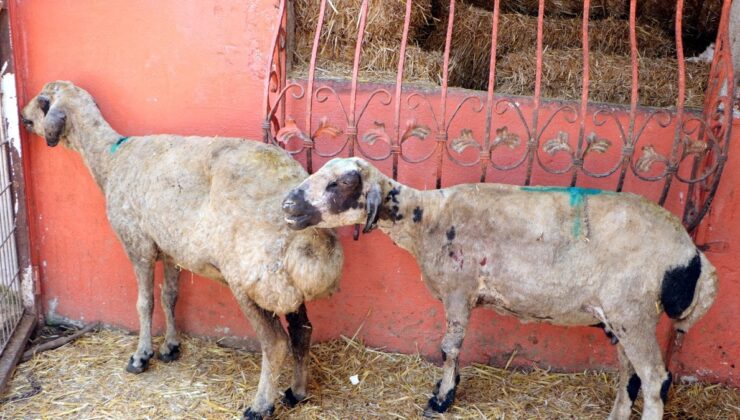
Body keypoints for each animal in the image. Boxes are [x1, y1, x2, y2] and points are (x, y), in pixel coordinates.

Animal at [20, 82, 344, 420]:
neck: (111, 161)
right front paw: (171, 347)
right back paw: (297, 392)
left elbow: (145, 303)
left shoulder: (138, 244)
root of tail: (317, 237)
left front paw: (141, 356)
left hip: (253, 280)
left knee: (275, 343)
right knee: (302, 331)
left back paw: (260, 405)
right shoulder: (170, 249)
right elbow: (169, 297)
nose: (22, 117)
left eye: (43, 103)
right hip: (286, 286)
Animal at [282, 157, 716, 420]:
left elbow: (449, 348)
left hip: (634, 310)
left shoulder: (459, 290)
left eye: (340, 183)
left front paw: (442, 398)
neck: (426, 219)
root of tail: (693, 255)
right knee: (631, 374)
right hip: (621, 316)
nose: (287, 205)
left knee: (656, 378)